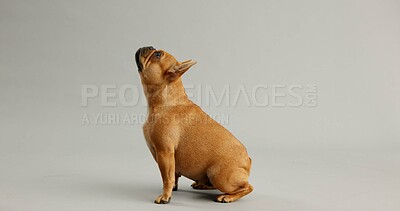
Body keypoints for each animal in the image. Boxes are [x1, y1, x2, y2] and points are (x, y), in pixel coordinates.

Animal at [135, 46, 253, 204]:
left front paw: (165, 196)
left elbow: (167, 177)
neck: (165, 99)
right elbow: (173, 176)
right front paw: (172, 189)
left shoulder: (165, 152)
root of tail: (248, 161)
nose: (149, 47)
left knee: (247, 187)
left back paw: (227, 197)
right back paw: (202, 184)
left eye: (158, 54)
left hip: (218, 174)